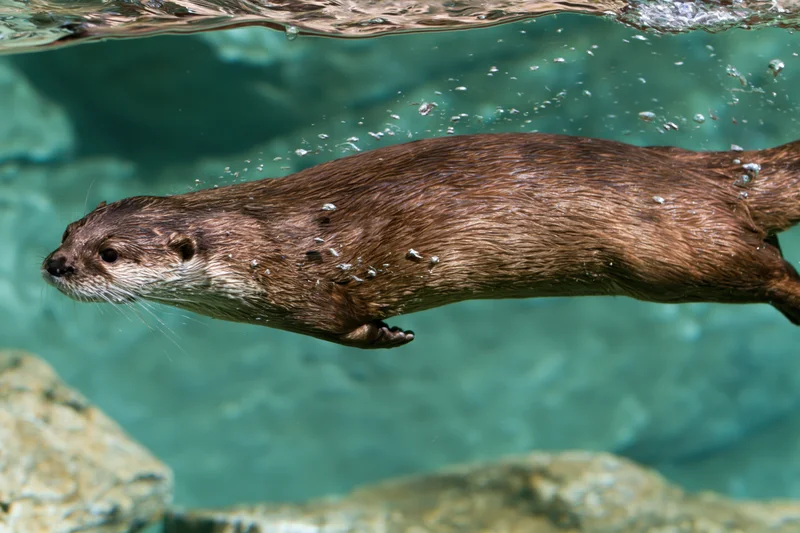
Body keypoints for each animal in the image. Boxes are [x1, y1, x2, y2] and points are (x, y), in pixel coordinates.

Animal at [42, 133, 800, 349]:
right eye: (69, 230)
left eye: (108, 256)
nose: (55, 265)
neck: (250, 241)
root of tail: (719, 174)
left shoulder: (308, 291)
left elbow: (347, 327)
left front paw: (392, 335)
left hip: (676, 257)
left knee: (763, 269)